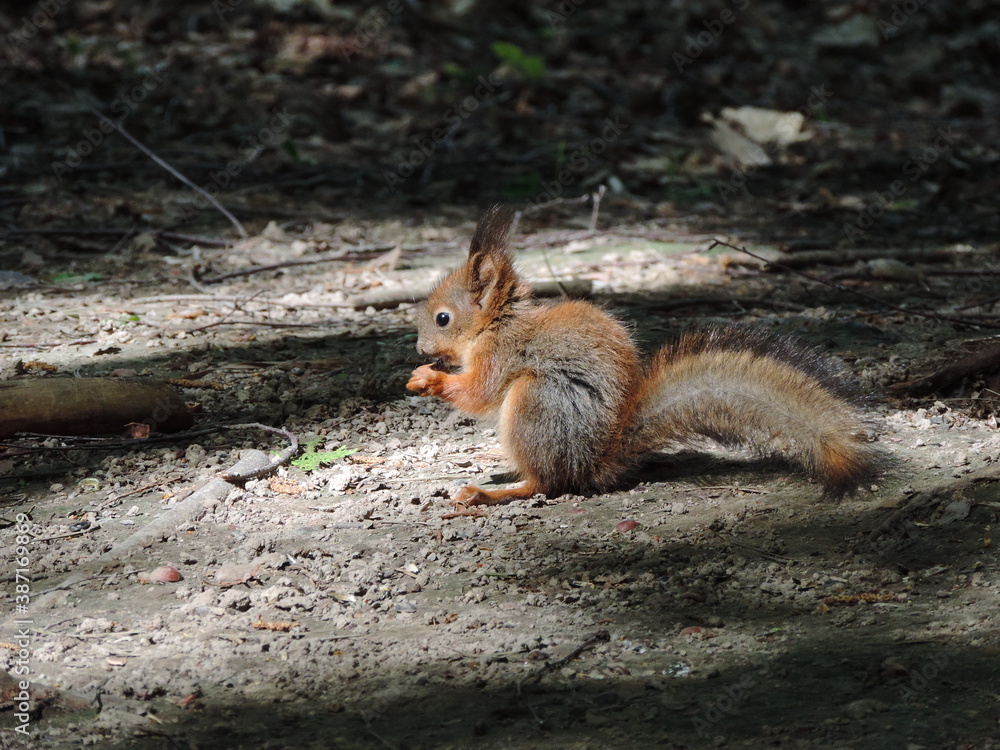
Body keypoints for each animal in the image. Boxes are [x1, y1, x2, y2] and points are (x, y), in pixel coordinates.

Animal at [406, 205, 882, 509]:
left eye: (443, 318)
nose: (419, 349)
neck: (495, 324)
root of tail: (595, 461)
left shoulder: (500, 355)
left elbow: (478, 393)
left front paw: (427, 378)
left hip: (536, 403)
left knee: (547, 483)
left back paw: (490, 492)